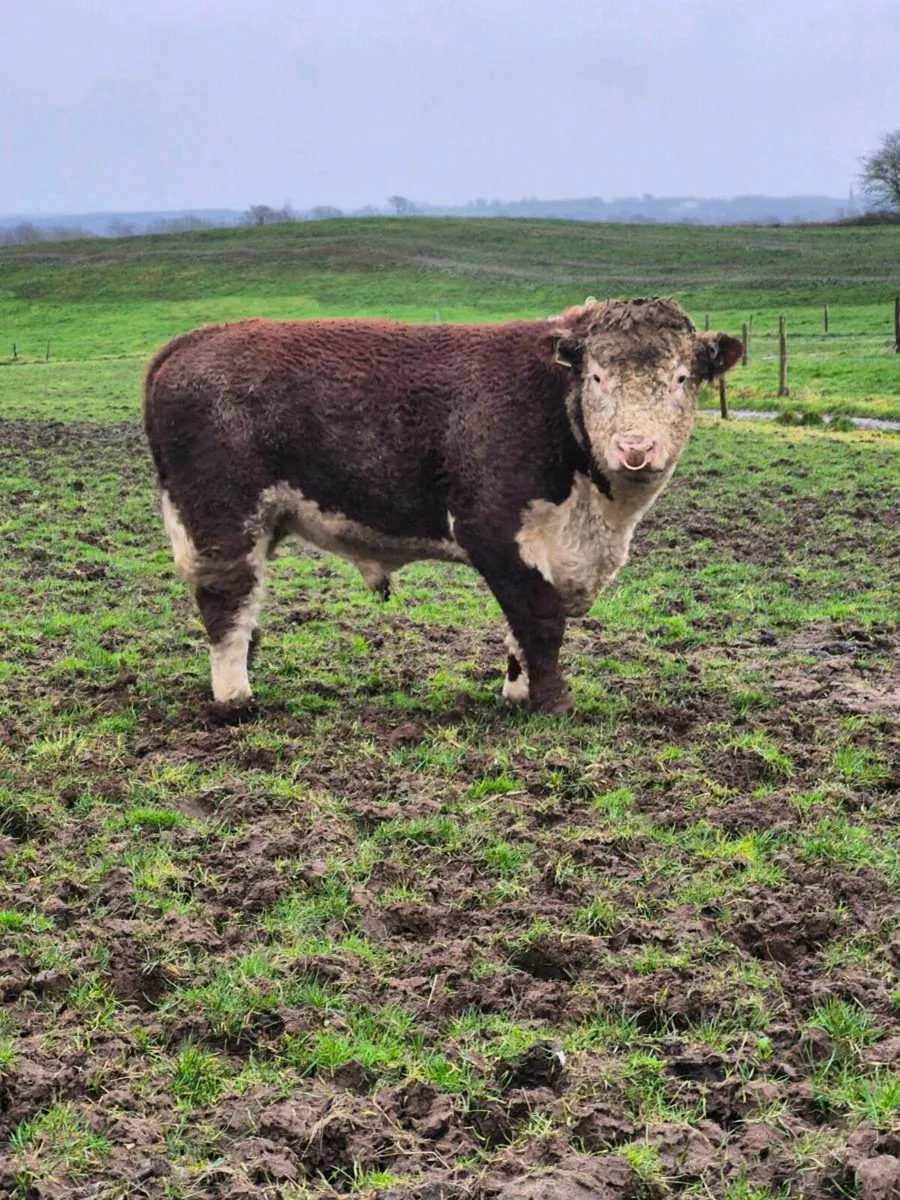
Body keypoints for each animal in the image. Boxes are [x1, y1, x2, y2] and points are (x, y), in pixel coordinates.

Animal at [143, 298, 742, 714]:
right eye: (597, 376)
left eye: (681, 378)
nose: (636, 448)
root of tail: (191, 341)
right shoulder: (495, 532)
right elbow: (539, 621)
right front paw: (555, 704)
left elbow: (519, 631)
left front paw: (517, 694)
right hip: (220, 518)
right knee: (228, 603)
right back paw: (236, 699)